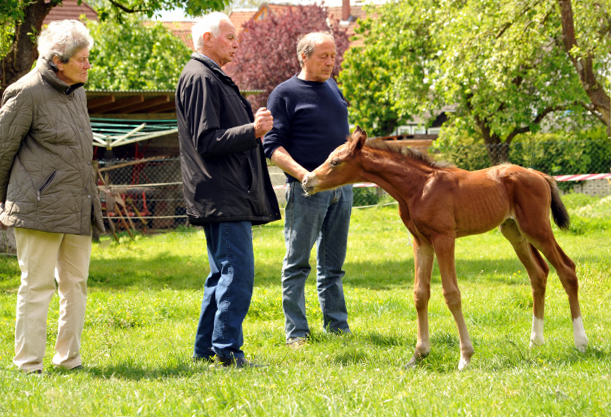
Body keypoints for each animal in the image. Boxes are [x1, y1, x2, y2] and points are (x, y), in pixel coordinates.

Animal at [302, 126, 588, 368]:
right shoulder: (421, 243)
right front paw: (419, 354)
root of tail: (539, 174)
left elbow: (451, 293)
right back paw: (535, 341)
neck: (418, 188)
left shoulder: (444, 238)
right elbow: (420, 293)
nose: (306, 181)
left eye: (335, 161)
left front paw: (465, 357)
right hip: (514, 232)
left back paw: (581, 342)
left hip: (537, 229)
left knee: (567, 269)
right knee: (539, 273)